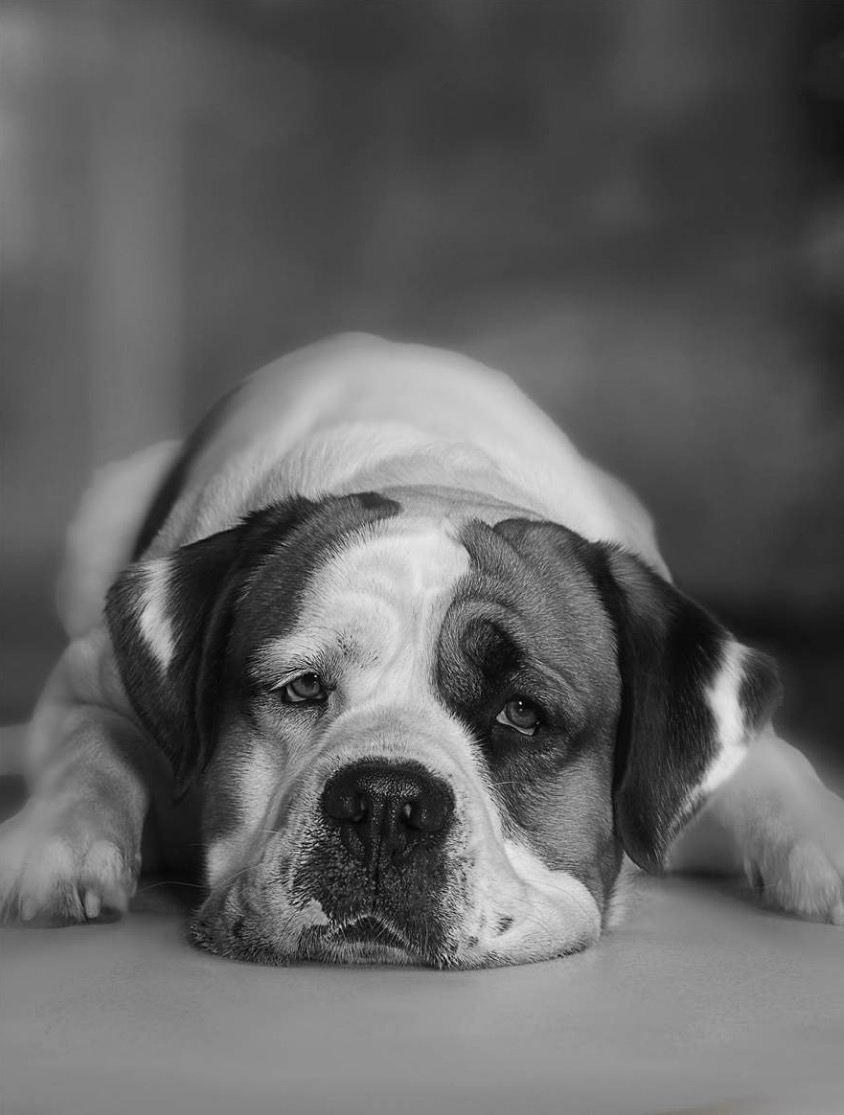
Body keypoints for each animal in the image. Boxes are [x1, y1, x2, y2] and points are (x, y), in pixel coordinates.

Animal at [1, 332, 842, 967]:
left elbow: (776, 769)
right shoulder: (91, 679)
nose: (384, 801)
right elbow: (92, 742)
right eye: (302, 688)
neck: (432, 473)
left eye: (523, 713)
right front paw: (60, 843)